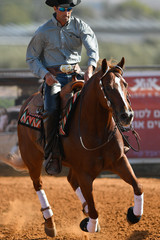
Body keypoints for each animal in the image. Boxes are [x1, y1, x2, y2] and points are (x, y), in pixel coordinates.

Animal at [7, 57, 144, 237]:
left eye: (125, 84)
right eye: (107, 87)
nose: (127, 115)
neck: (96, 131)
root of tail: (27, 103)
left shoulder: (119, 161)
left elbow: (138, 186)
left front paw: (133, 214)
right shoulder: (84, 174)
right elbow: (94, 210)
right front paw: (89, 225)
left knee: (70, 180)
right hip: (32, 159)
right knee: (38, 185)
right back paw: (50, 222)